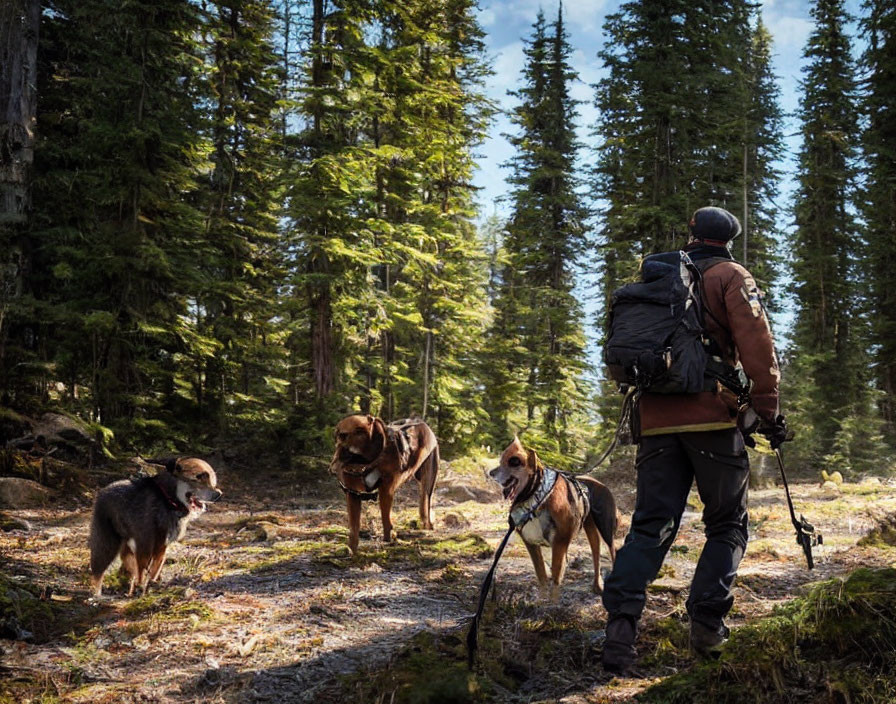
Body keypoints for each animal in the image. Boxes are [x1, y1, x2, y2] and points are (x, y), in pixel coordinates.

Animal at [328, 412, 440, 556]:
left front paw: (389, 539)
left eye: (344, 435)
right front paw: (351, 550)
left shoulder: (386, 490)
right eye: (338, 435)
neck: (364, 462)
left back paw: (428, 526)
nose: (332, 467)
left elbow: (386, 519)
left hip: (428, 482)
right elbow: (353, 528)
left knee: (426, 503)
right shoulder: (353, 494)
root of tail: (420, 422)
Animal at [490, 440, 616, 600]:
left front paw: (553, 601)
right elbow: (541, 575)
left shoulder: (560, 541)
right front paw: (543, 600)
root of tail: (600, 483)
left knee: (612, 552)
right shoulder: (531, 543)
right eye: (501, 461)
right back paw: (597, 585)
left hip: (606, 529)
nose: (490, 473)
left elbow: (556, 575)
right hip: (591, 528)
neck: (537, 497)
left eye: (514, 462)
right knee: (596, 555)